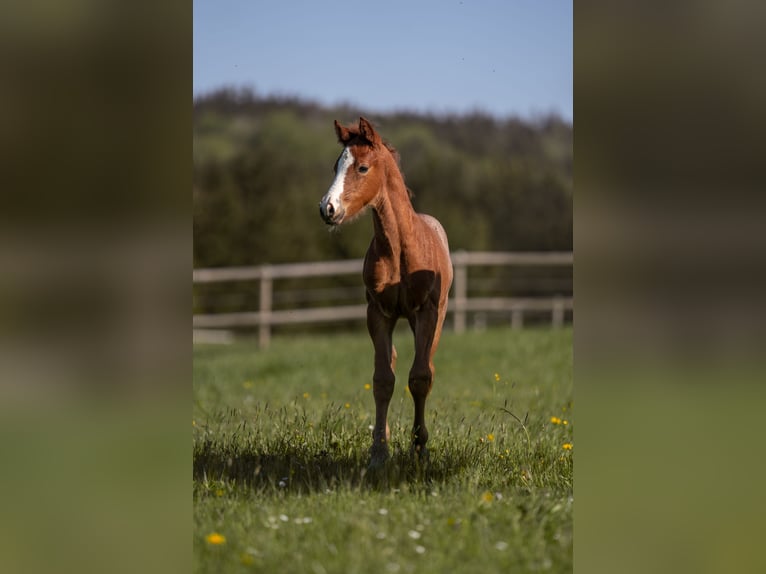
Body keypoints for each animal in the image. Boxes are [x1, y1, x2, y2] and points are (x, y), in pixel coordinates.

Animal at [320, 117, 456, 468]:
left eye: (362, 167)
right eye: (335, 166)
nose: (327, 209)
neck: (399, 249)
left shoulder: (426, 311)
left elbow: (420, 377)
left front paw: (420, 448)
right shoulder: (378, 313)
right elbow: (383, 380)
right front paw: (379, 451)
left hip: (436, 316)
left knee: (427, 367)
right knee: (392, 362)